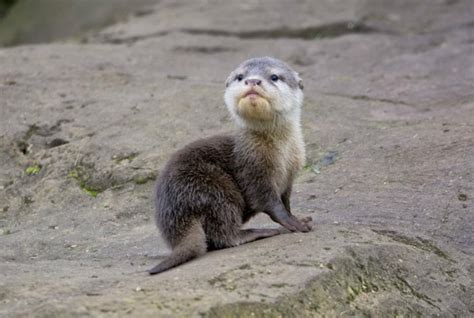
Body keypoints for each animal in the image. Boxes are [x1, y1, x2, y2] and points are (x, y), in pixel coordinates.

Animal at [149, 56, 312, 274]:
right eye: (240, 76)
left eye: (274, 77)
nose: (252, 81)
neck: (282, 154)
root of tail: (175, 212)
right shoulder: (253, 169)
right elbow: (269, 203)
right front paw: (292, 223)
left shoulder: (289, 177)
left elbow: (286, 202)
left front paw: (298, 218)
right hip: (215, 191)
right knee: (224, 235)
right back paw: (257, 232)